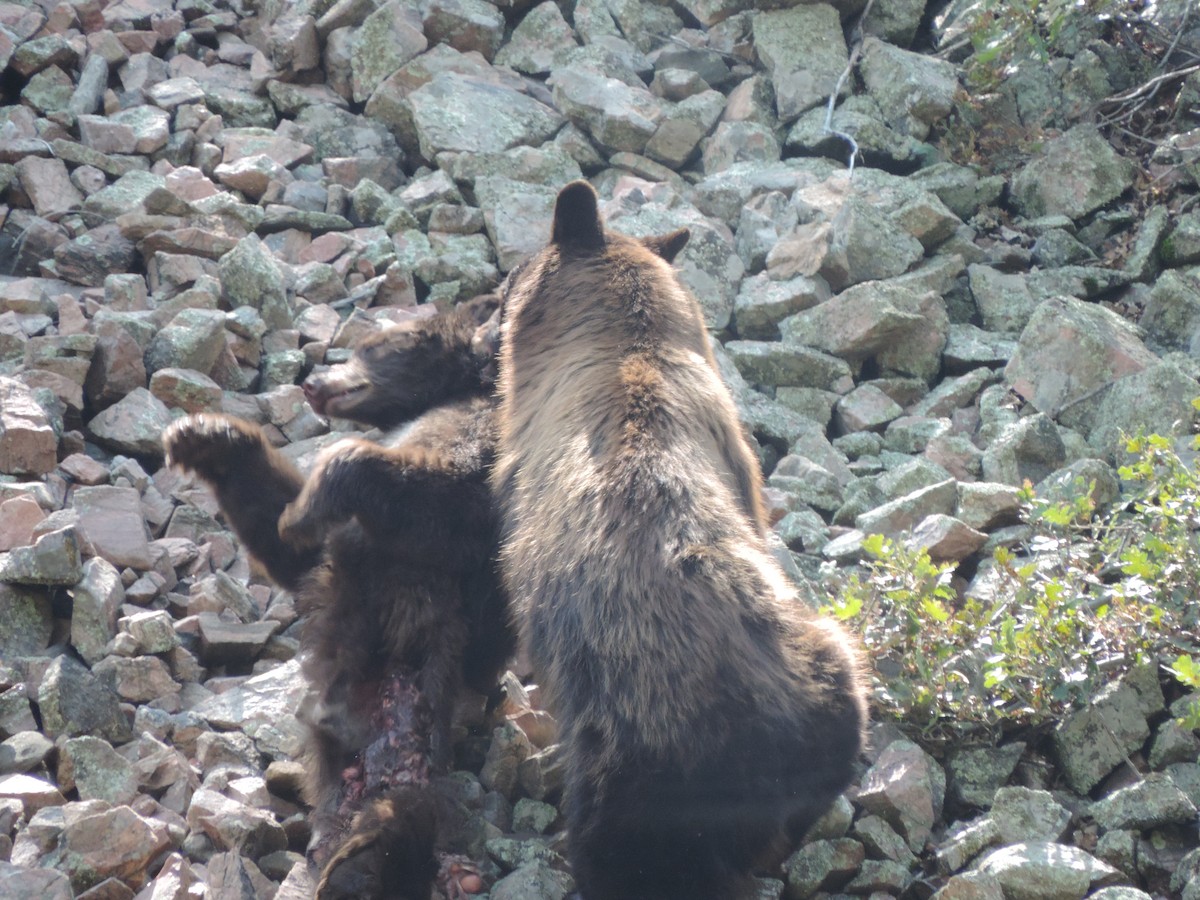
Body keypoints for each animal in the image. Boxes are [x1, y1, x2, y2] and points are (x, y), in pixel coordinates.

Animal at [163, 294, 511, 900]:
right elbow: (284, 540)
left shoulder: (468, 484)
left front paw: (307, 507)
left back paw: (370, 857)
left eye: (374, 345)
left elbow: (405, 479)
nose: (312, 381)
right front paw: (205, 433)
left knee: (406, 821)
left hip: (414, 749)